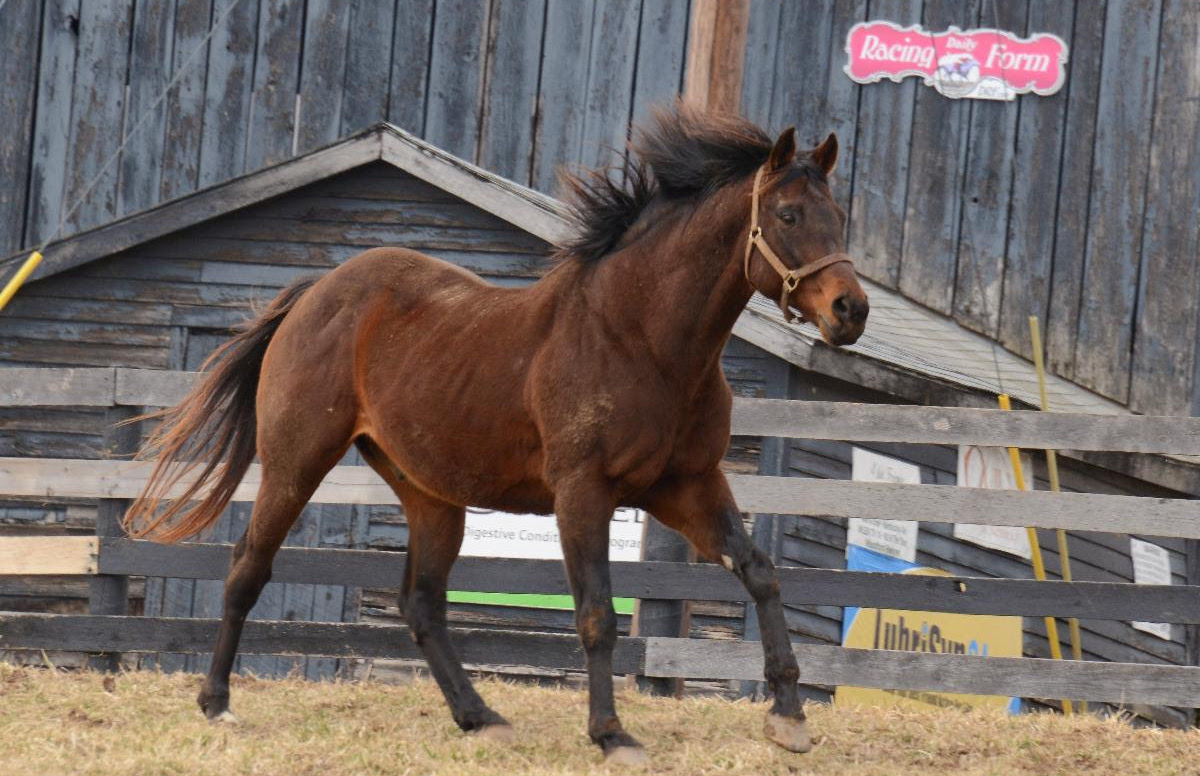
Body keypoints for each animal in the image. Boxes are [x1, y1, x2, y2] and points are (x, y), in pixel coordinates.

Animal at [126, 104, 868, 762]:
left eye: (839, 218)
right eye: (788, 215)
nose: (850, 310)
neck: (641, 341)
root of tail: (315, 294)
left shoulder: (686, 486)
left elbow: (760, 573)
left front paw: (790, 719)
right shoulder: (583, 491)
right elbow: (597, 614)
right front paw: (612, 735)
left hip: (429, 494)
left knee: (422, 604)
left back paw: (480, 717)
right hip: (295, 462)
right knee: (247, 568)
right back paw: (216, 702)